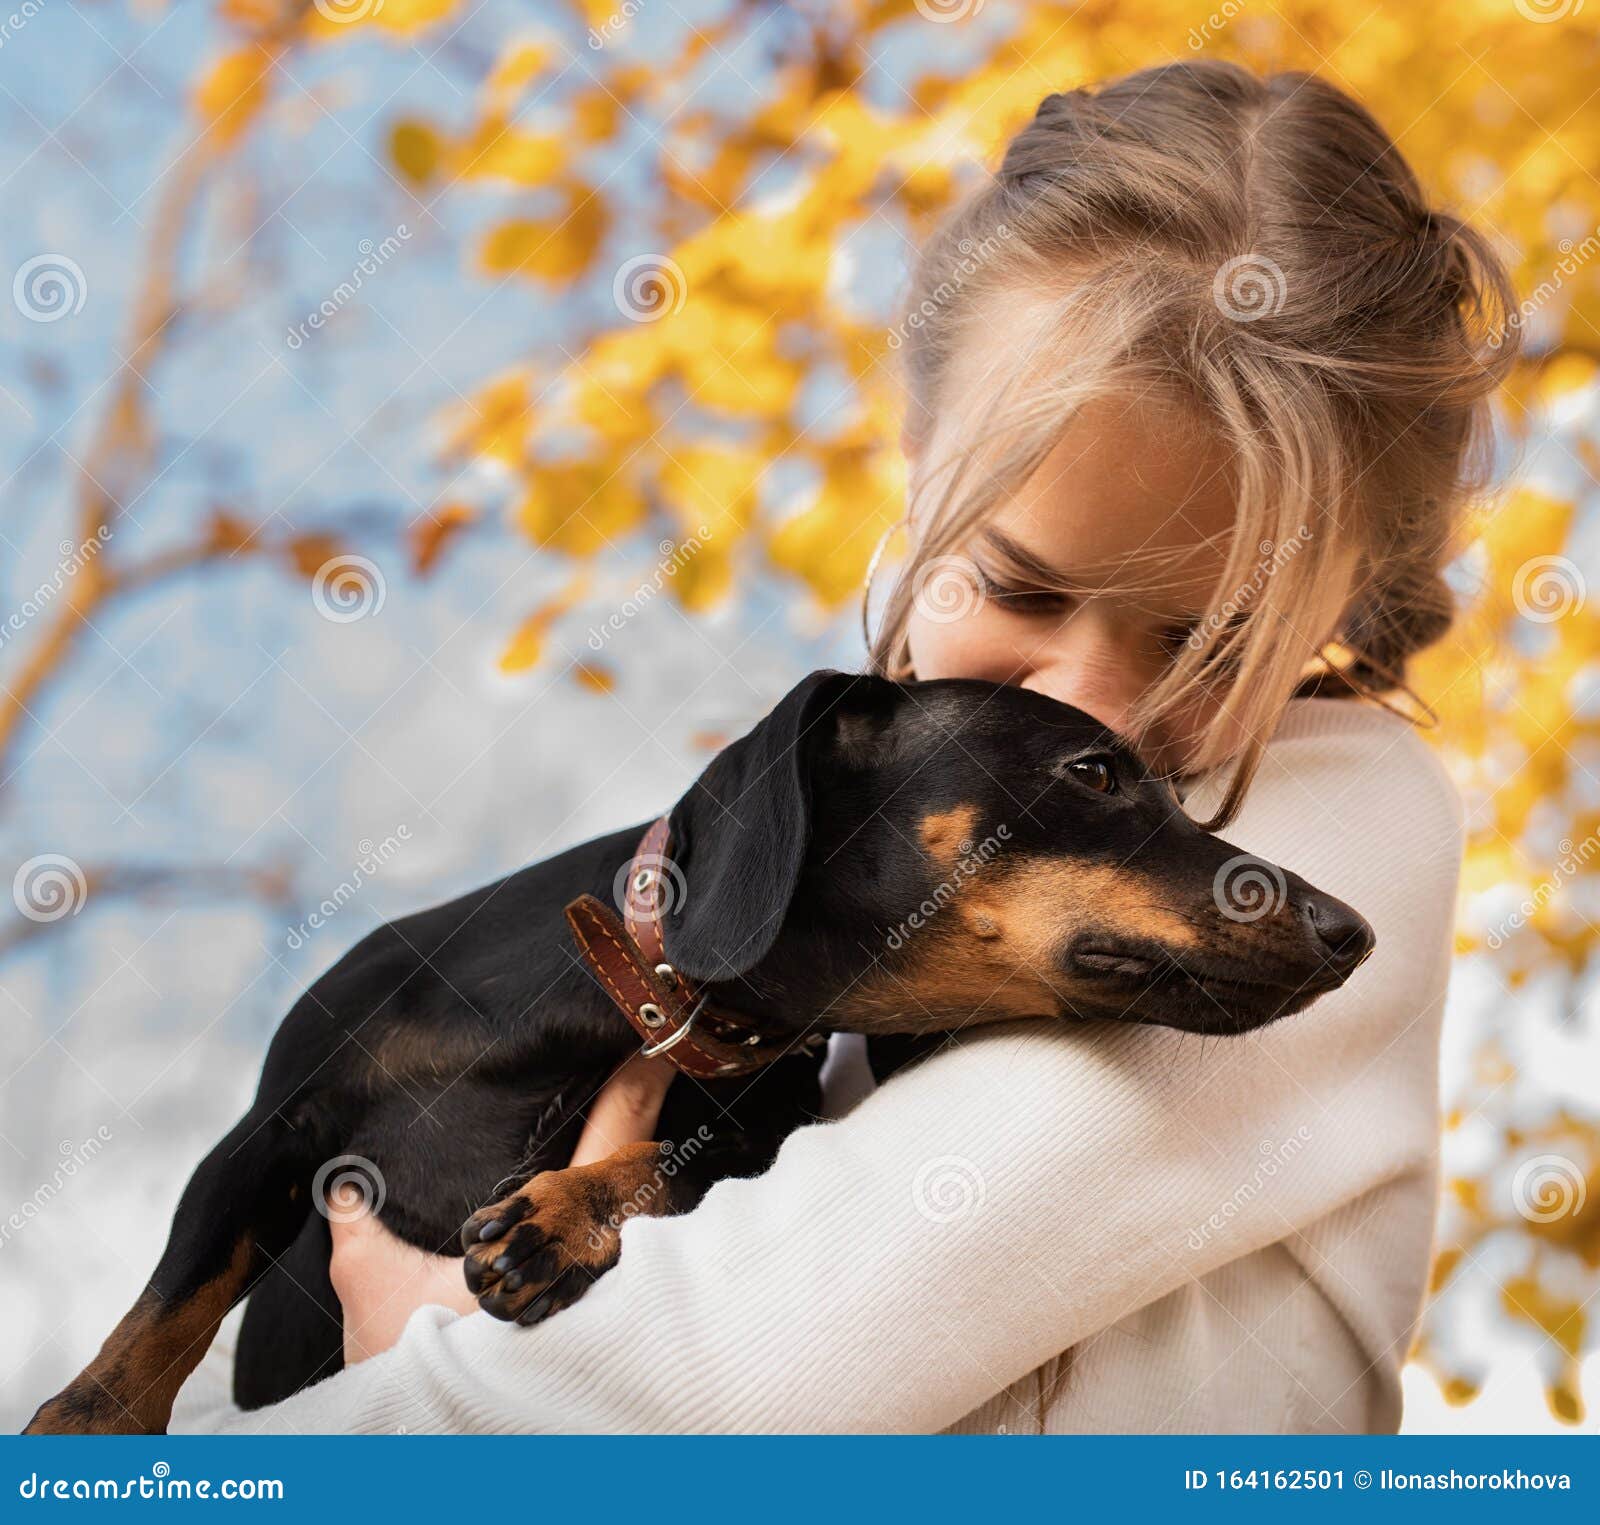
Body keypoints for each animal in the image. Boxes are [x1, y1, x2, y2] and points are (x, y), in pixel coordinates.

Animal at [28, 665, 1376, 1427]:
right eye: (1095, 770)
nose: (1352, 929)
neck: (645, 1006)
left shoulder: (751, 1132)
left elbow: (680, 1163)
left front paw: (561, 1212)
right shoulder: (265, 1134)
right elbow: (154, 1328)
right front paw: (78, 1428)